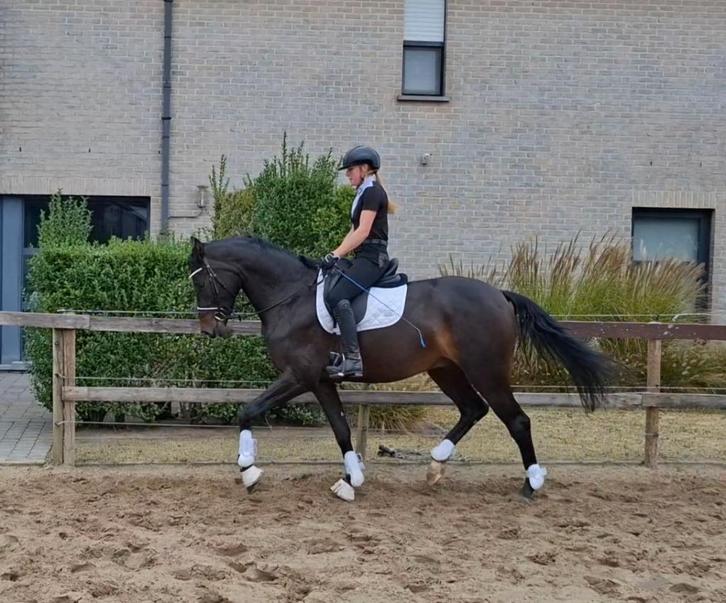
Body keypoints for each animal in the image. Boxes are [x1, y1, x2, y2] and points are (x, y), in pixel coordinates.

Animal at [188, 236, 614, 502]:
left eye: (202, 281)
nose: (209, 329)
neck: (291, 297)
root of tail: (500, 295)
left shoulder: (298, 376)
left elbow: (247, 410)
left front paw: (248, 471)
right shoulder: (321, 380)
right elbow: (341, 429)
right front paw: (351, 481)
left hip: (486, 371)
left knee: (517, 420)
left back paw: (531, 485)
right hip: (447, 370)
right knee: (472, 409)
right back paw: (435, 466)